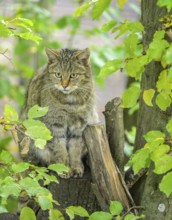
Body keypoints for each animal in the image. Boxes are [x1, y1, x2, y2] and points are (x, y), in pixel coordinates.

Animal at [19, 47, 99, 178]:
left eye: (73, 75)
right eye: (58, 74)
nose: (64, 85)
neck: (70, 103)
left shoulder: (79, 126)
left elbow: (75, 148)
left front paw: (75, 166)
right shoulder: (55, 125)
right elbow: (59, 147)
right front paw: (64, 168)